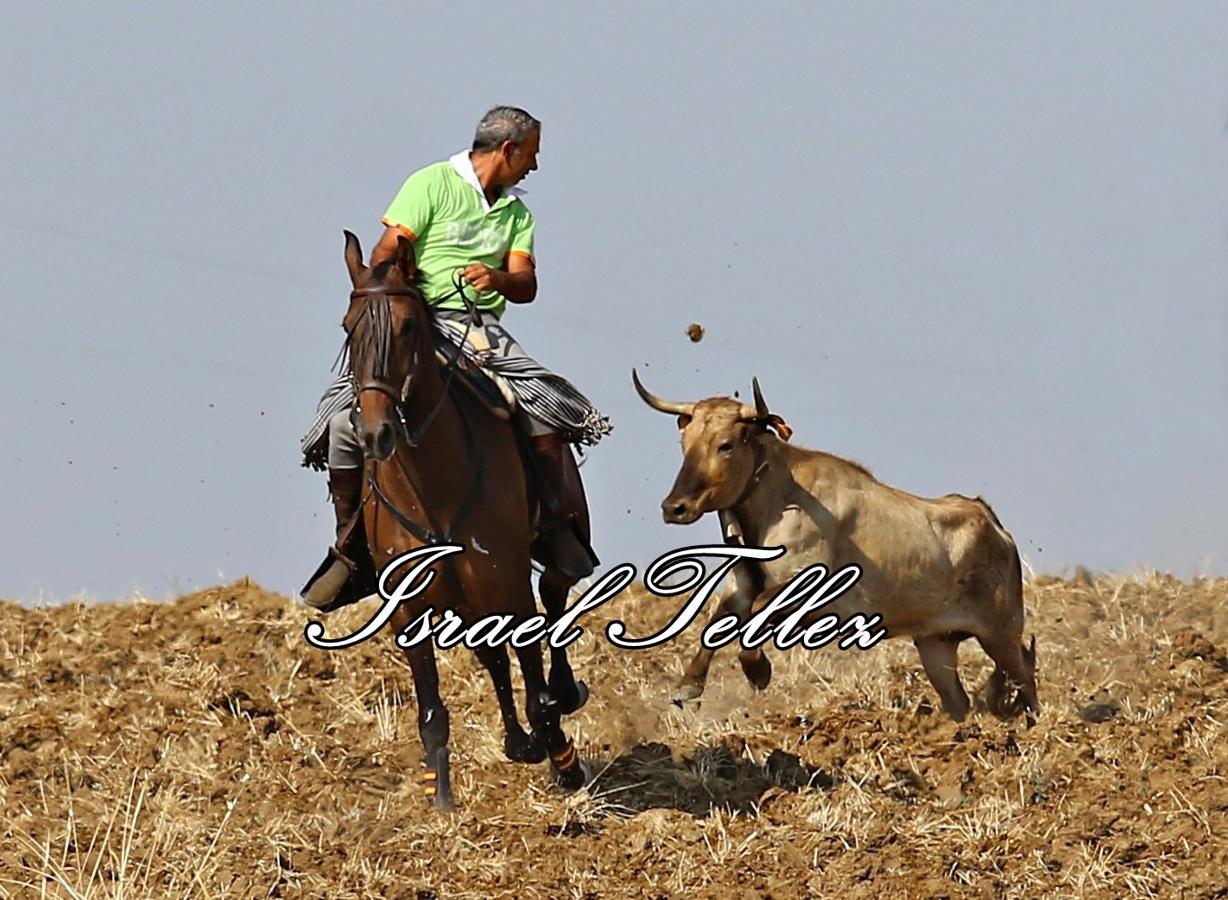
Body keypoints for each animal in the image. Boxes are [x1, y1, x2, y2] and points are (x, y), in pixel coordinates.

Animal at [338, 229, 591, 805]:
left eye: (409, 326)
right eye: (348, 328)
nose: (375, 433)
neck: (433, 486)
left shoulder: (507, 583)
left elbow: (535, 680)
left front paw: (563, 763)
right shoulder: (409, 608)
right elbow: (432, 710)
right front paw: (443, 800)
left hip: (550, 548)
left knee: (556, 597)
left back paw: (561, 701)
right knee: (494, 656)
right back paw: (520, 743)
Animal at [633, 368, 1036, 721]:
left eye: (726, 445)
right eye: (685, 443)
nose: (674, 507)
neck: (782, 498)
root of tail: (993, 524)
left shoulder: (811, 590)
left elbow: (759, 612)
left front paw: (758, 671)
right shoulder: (742, 586)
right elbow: (717, 622)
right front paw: (687, 685)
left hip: (1001, 634)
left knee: (1026, 677)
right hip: (936, 644)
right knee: (960, 702)